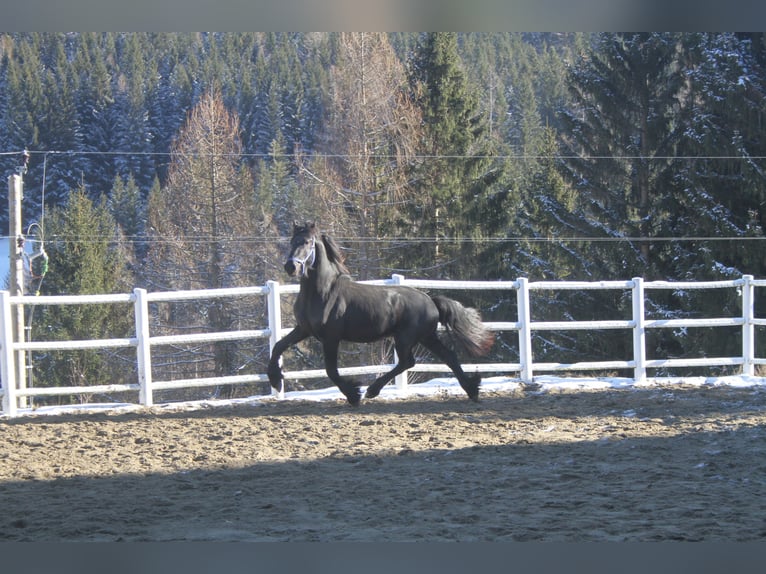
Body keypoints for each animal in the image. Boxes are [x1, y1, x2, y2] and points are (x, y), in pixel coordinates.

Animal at [270, 223, 498, 408]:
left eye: (308, 242)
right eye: (292, 241)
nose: (291, 266)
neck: (322, 292)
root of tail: (430, 301)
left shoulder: (331, 337)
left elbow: (331, 370)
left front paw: (354, 395)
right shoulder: (304, 329)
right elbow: (278, 346)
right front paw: (275, 380)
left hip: (405, 338)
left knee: (408, 362)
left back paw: (372, 390)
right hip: (425, 337)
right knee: (447, 356)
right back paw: (472, 390)